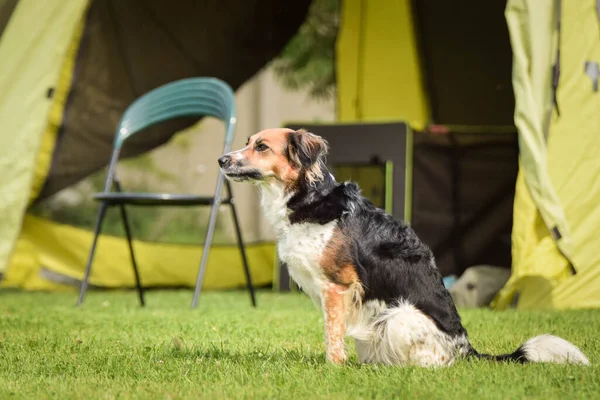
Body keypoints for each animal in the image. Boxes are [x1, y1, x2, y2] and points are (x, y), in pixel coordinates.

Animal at [217, 129, 592, 368]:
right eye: (248, 142)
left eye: (262, 147)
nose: (221, 159)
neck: (310, 199)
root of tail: (466, 349)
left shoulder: (337, 287)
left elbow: (332, 336)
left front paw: (332, 368)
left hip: (398, 316)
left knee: (435, 363)